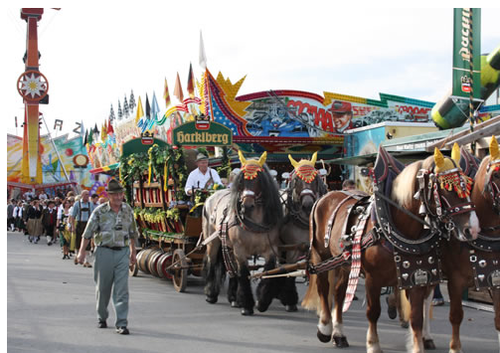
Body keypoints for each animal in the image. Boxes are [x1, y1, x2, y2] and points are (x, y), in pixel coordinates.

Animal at [201, 150, 284, 314]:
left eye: (258, 179)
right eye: (241, 181)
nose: (247, 205)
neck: (255, 222)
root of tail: (211, 196)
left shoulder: (270, 250)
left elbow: (267, 272)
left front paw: (261, 302)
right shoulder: (240, 249)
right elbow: (244, 274)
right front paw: (247, 305)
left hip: (228, 245)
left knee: (231, 268)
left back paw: (233, 298)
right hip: (213, 241)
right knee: (212, 262)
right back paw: (211, 294)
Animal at [300, 146, 480, 352]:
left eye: (468, 186)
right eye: (446, 187)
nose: (473, 228)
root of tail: (326, 196)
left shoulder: (417, 275)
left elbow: (417, 316)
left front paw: (418, 344)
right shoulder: (373, 278)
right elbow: (373, 312)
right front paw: (373, 344)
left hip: (345, 263)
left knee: (339, 293)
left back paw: (339, 334)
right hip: (320, 256)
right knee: (323, 288)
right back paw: (325, 328)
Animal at [442, 138, 500, 352]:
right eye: (496, 174)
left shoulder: (495, 279)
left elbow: (498, 319)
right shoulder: (455, 281)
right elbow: (456, 316)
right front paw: (454, 347)